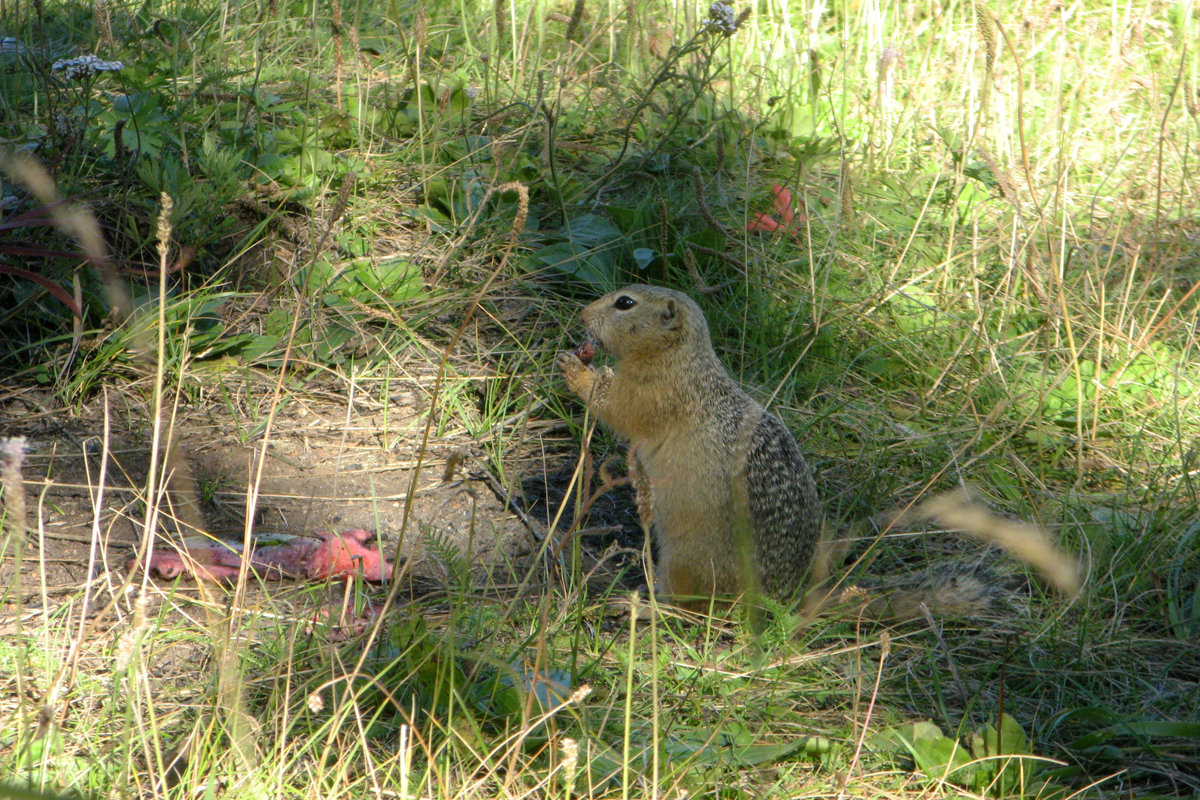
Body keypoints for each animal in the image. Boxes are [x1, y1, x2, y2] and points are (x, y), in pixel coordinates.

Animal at [556, 284, 820, 604]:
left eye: (625, 303)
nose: (583, 314)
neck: (677, 356)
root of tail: (776, 596)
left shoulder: (650, 392)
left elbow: (614, 406)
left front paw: (576, 369)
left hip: (684, 562)